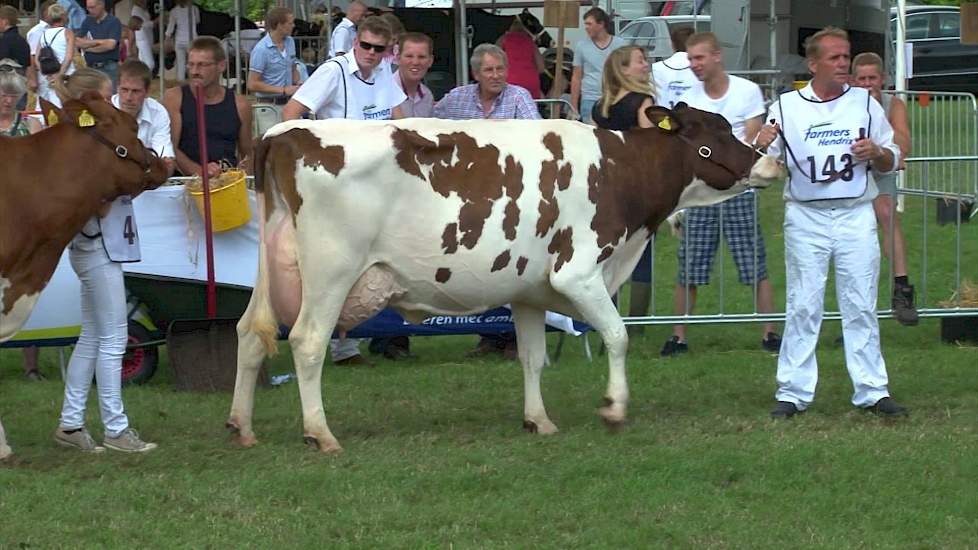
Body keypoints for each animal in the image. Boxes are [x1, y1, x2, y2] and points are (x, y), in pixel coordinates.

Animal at [227, 103, 776, 452]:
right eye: (714, 136)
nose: (769, 161)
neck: (619, 170)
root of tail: (283, 134)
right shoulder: (579, 273)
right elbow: (618, 336)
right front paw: (615, 408)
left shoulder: (529, 290)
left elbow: (533, 358)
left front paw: (539, 420)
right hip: (332, 270)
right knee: (307, 341)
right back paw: (320, 434)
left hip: (270, 270)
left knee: (250, 334)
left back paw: (242, 426)